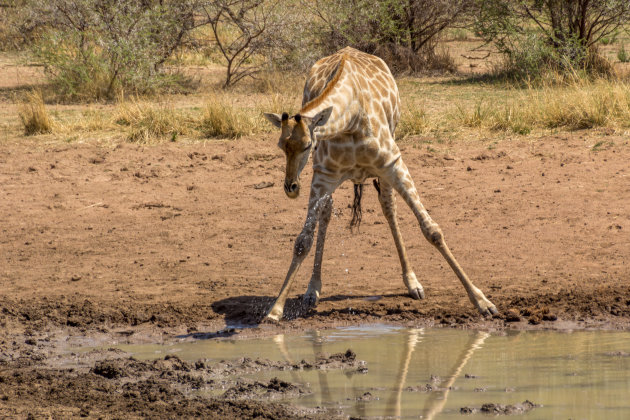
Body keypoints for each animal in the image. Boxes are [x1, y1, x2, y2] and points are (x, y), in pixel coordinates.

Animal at [262, 46, 498, 322]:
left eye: (307, 145)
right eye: (281, 145)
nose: (291, 187)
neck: (351, 117)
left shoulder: (393, 163)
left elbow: (432, 230)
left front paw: (483, 302)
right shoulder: (323, 176)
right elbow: (302, 242)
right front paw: (275, 310)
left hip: (386, 163)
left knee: (389, 208)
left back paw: (413, 283)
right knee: (327, 215)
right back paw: (312, 290)